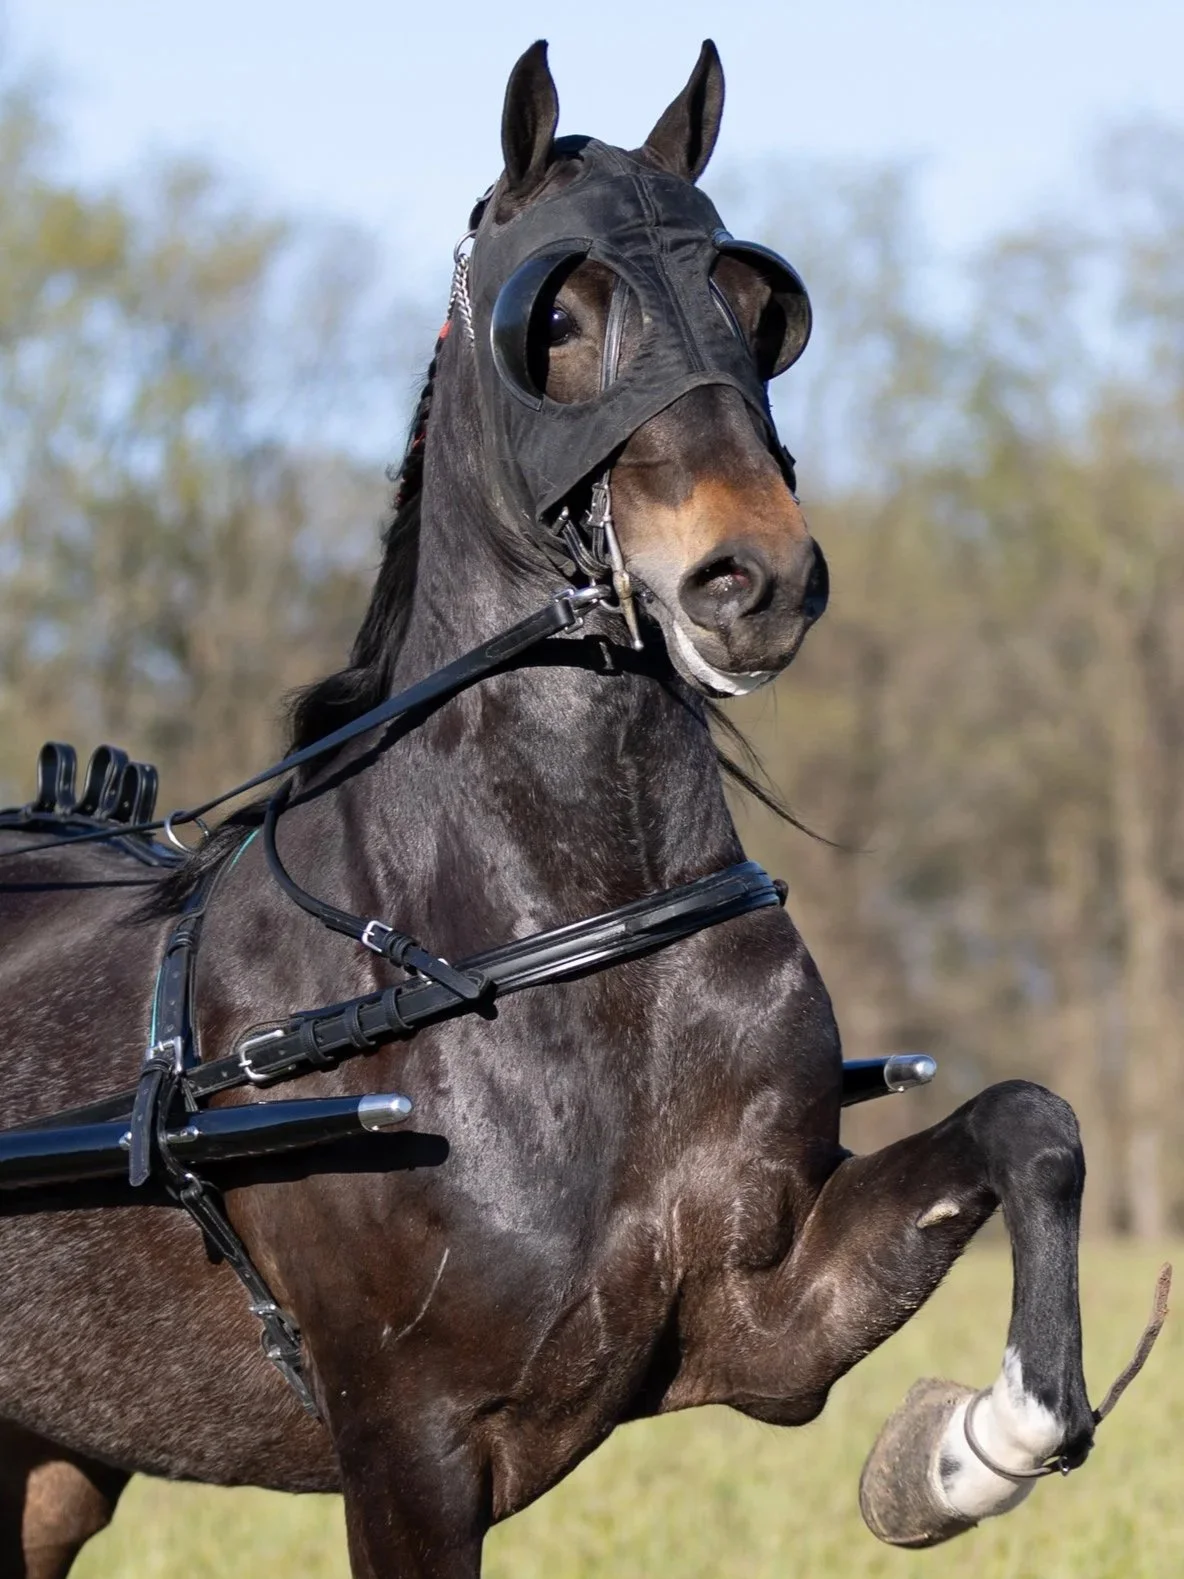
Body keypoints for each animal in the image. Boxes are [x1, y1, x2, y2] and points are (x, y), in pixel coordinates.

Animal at [0, 38, 1139, 1579]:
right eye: (556, 313)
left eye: (757, 305)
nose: (753, 578)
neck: (560, 945)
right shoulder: (407, 1441)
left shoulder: (754, 1321)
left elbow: (1029, 1119)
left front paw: (973, 1443)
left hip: (53, 1465)